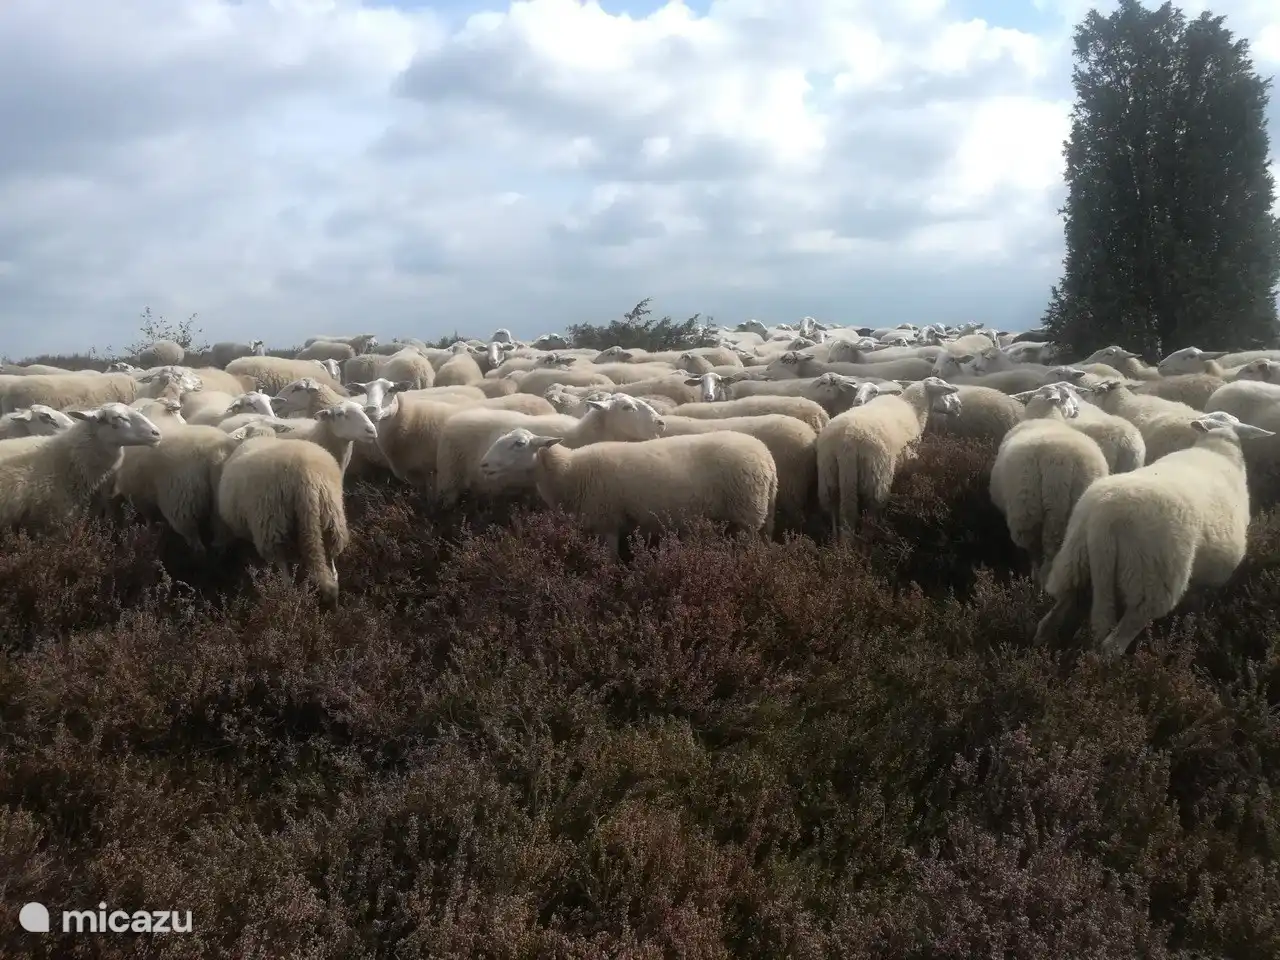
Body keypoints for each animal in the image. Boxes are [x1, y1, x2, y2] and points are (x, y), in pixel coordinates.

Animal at [215, 429, 350, 606]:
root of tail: (305, 477)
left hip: (271, 526)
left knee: (285, 576)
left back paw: (284, 597)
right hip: (330, 517)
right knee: (333, 568)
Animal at [477, 429, 779, 555]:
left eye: (519, 443)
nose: (484, 465)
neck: (569, 470)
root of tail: (766, 454)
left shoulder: (607, 520)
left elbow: (610, 559)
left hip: (746, 513)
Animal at [815, 377, 960, 540]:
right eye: (943, 388)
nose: (959, 406)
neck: (913, 407)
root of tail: (847, 441)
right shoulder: (909, 457)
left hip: (828, 475)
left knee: (833, 509)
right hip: (876, 478)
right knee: (869, 513)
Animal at [989, 386, 1110, 585]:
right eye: (1067, 395)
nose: (1076, 410)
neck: (1046, 417)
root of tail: (1057, 462)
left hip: (1027, 511)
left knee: (1037, 556)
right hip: (1047, 514)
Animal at [1033, 414, 1275, 658]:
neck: (1218, 448)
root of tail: (1104, 519)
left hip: (1074, 560)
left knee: (1052, 616)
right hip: (1150, 581)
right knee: (1113, 645)